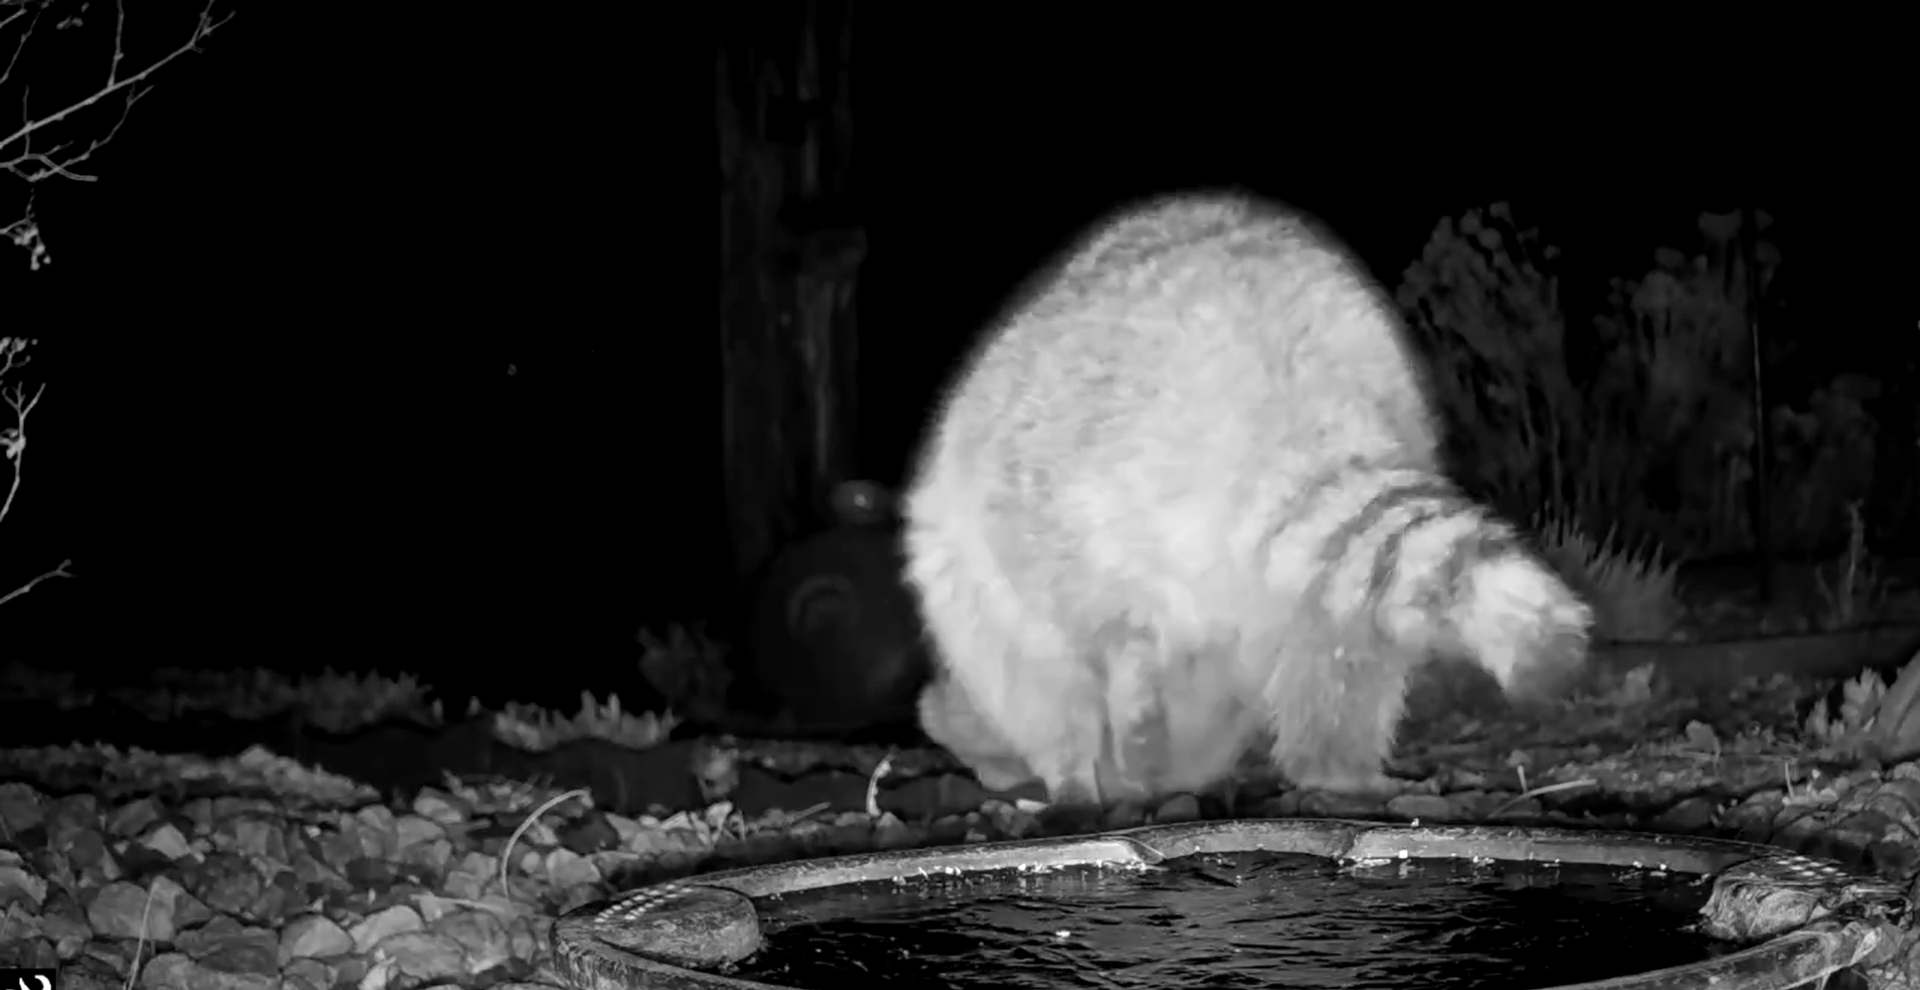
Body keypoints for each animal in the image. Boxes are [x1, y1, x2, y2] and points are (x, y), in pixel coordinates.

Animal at [898, 189, 1589, 809]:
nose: (987, 776)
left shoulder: (1011, 623)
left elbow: (1063, 705)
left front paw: (1081, 778)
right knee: (1341, 660)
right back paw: (1333, 769)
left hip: (1053, 475)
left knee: (1101, 614)